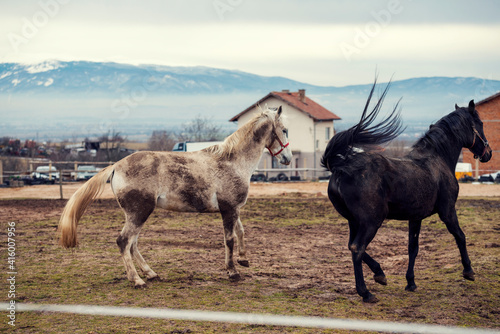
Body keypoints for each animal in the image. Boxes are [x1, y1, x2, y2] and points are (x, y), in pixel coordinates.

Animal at [58, 107, 292, 288]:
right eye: (285, 130)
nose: (288, 159)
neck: (232, 162)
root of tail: (116, 166)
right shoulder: (229, 209)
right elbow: (230, 239)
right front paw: (233, 271)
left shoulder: (233, 208)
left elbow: (241, 231)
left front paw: (243, 260)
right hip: (139, 212)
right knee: (124, 241)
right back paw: (137, 280)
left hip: (137, 214)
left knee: (132, 244)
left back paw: (151, 273)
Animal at [320, 83, 492, 302]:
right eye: (480, 123)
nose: (488, 153)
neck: (438, 159)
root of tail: (340, 168)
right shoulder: (447, 211)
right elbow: (460, 236)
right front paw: (468, 271)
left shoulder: (415, 217)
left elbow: (413, 248)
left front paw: (410, 282)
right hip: (371, 221)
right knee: (357, 248)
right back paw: (366, 292)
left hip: (353, 220)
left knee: (352, 246)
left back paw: (380, 274)